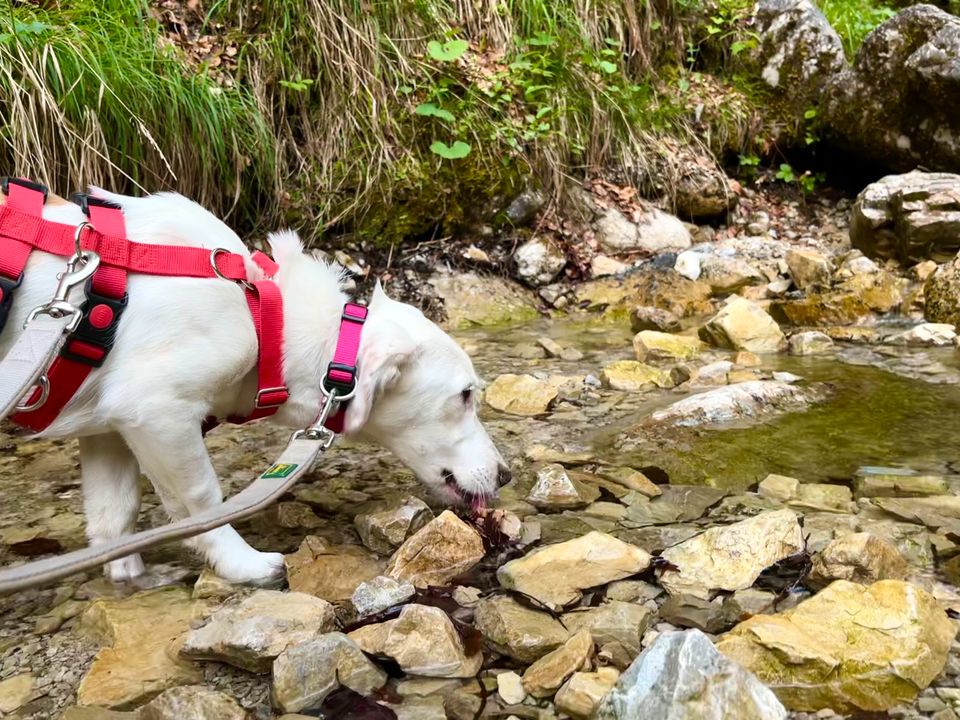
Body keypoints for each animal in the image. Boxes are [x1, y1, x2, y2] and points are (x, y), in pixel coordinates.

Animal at [0, 190, 510, 584]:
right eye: (465, 395)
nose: (506, 475)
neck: (265, 316)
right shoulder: (155, 412)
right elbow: (203, 501)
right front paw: (241, 563)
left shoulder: (109, 427)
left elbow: (114, 512)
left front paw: (129, 576)